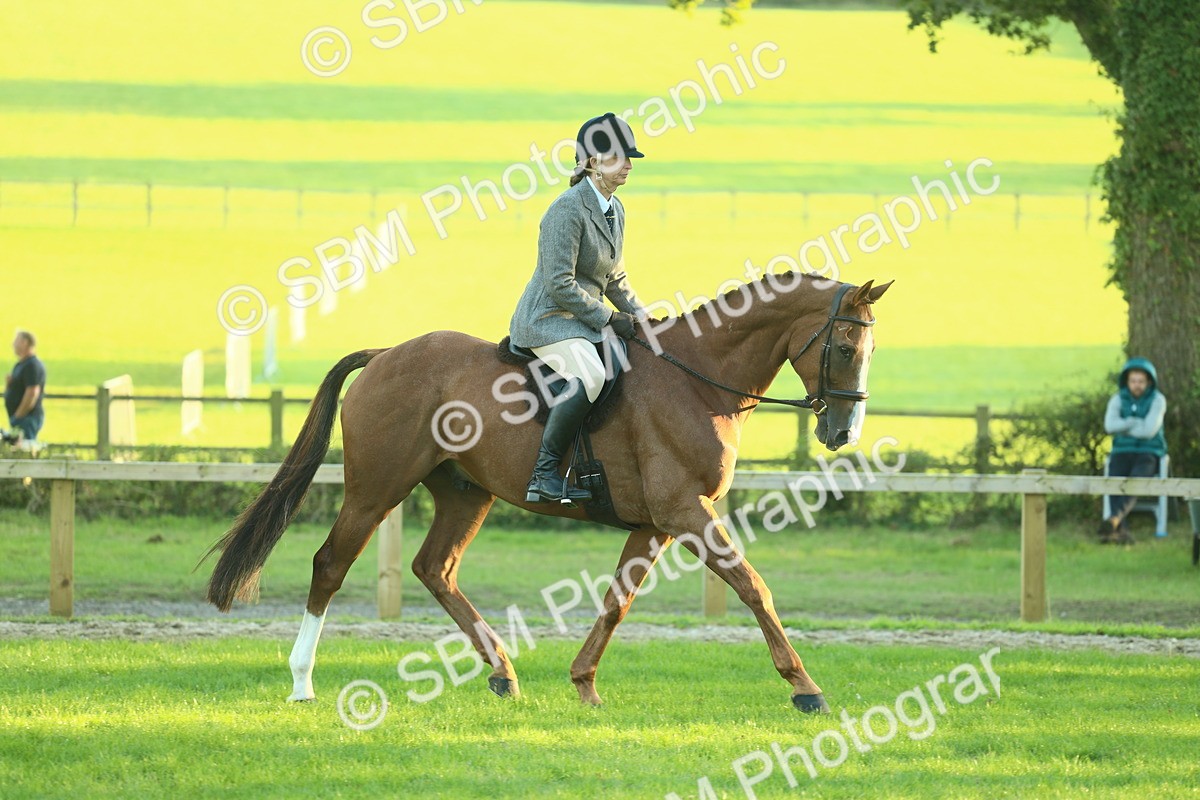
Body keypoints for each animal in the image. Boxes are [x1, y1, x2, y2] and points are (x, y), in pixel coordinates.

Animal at [202, 272, 892, 713]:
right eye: (845, 346)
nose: (841, 432)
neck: (697, 381)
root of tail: (386, 354)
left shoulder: (658, 523)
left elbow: (617, 601)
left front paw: (584, 684)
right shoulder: (685, 513)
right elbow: (753, 587)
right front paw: (804, 687)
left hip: (465, 493)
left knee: (435, 568)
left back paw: (503, 672)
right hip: (375, 490)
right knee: (331, 564)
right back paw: (302, 683)